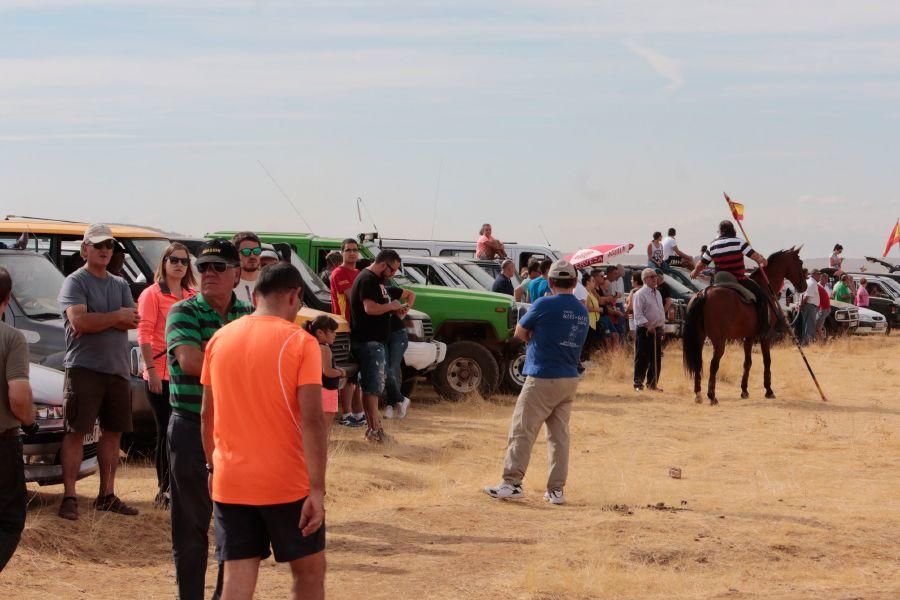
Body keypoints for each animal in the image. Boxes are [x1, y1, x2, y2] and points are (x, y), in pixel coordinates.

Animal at [684, 246, 804, 406]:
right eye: (800, 263)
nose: (804, 286)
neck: (766, 286)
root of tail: (704, 293)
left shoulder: (749, 337)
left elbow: (747, 362)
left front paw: (744, 390)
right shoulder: (764, 336)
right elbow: (767, 360)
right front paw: (769, 390)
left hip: (699, 338)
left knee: (699, 363)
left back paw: (698, 394)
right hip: (719, 341)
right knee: (713, 365)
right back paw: (712, 396)